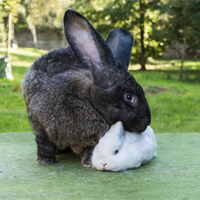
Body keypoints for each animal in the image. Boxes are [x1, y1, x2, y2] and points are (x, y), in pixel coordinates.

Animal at [22, 9, 150, 166]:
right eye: (129, 97)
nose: (146, 122)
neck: (89, 100)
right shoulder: (40, 126)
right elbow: (44, 144)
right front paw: (45, 160)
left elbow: (89, 149)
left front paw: (89, 161)